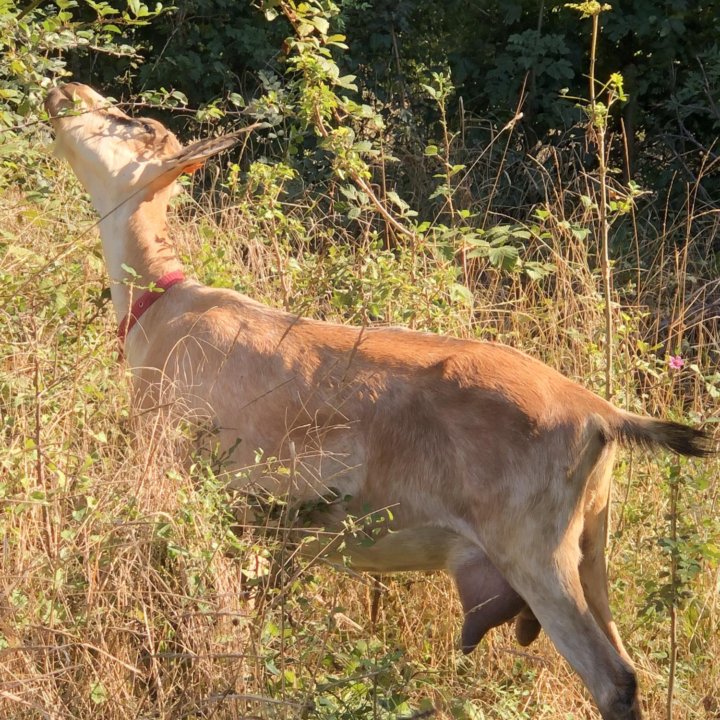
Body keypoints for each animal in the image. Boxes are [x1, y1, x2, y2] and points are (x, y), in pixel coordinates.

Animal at [46, 81, 716, 716]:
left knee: (615, 681)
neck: (161, 303)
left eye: (134, 123)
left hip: (537, 556)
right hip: (590, 551)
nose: (66, 92)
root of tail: (600, 414)